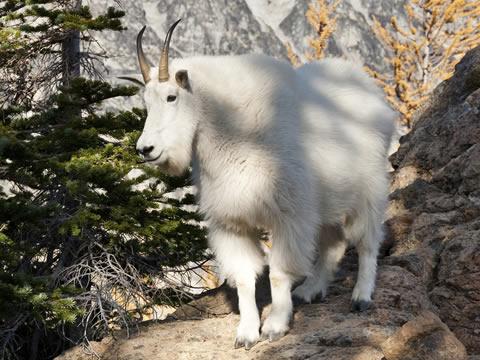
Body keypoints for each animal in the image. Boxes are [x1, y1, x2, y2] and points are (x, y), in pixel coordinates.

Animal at [127, 19, 394, 348]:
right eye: (146, 102)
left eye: (171, 97)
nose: (146, 149)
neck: (234, 131)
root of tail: (372, 90)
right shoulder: (231, 222)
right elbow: (244, 278)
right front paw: (246, 333)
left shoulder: (288, 215)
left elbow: (279, 272)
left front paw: (275, 326)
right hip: (326, 201)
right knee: (333, 242)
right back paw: (310, 291)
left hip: (369, 189)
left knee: (368, 241)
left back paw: (361, 297)